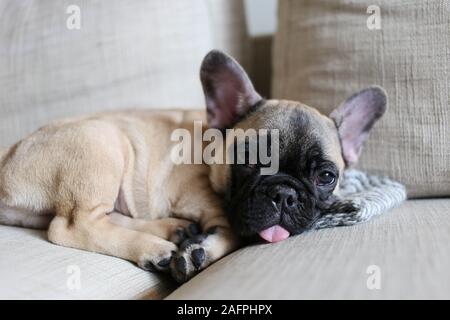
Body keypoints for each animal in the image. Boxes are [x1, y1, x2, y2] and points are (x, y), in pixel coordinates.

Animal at [0, 50, 386, 282]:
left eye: (326, 176)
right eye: (248, 160)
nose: (284, 194)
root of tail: (8, 157)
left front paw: (194, 244)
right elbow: (232, 233)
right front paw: (200, 253)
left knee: (102, 217)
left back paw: (172, 231)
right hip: (102, 140)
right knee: (72, 226)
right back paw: (155, 248)